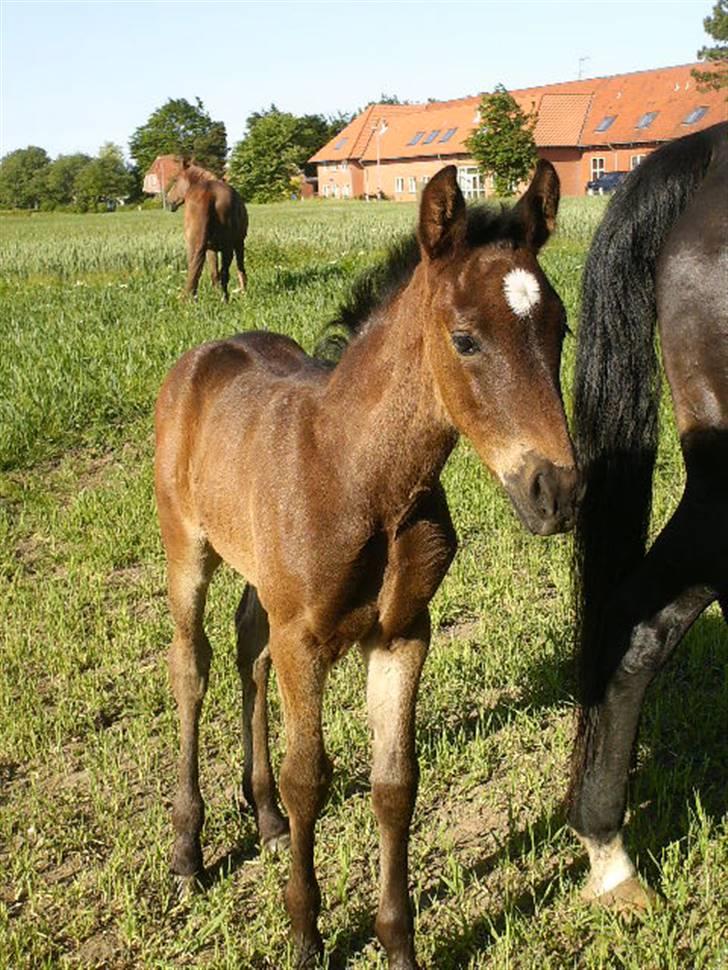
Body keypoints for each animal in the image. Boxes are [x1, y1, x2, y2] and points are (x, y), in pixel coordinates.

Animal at [155, 163, 580, 964]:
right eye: (466, 340)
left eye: (560, 328)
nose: (559, 491)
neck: (361, 474)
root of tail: (203, 352)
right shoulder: (306, 637)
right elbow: (310, 779)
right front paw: (304, 934)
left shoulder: (403, 631)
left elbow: (395, 784)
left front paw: (397, 941)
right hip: (185, 545)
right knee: (192, 666)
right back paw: (189, 851)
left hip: (263, 577)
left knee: (248, 648)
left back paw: (262, 817)